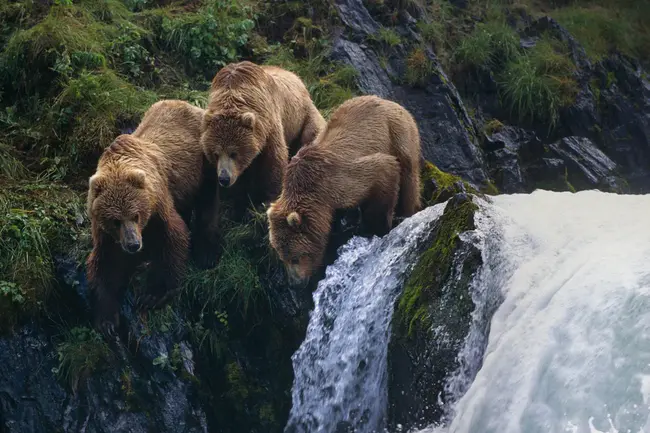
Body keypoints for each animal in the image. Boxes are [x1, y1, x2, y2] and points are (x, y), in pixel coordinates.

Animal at [86, 99, 219, 336]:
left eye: (135, 215)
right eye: (115, 221)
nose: (133, 244)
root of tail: (193, 105)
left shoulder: (158, 206)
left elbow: (172, 239)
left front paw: (152, 295)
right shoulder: (105, 233)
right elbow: (106, 264)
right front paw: (107, 320)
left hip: (203, 163)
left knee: (207, 201)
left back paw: (207, 253)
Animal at [200, 59, 326, 206]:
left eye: (234, 153)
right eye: (215, 154)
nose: (224, 178)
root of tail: (296, 76)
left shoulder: (269, 123)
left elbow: (274, 158)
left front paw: (269, 198)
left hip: (303, 116)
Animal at [268, 93, 422, 286]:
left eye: (295, 257)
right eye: (282, 257)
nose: (295, 283)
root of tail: (391, 102)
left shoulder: (340, 180)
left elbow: (383, 171)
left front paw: (376, 227)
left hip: (399, 133)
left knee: (409, 175)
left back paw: (407, 212)